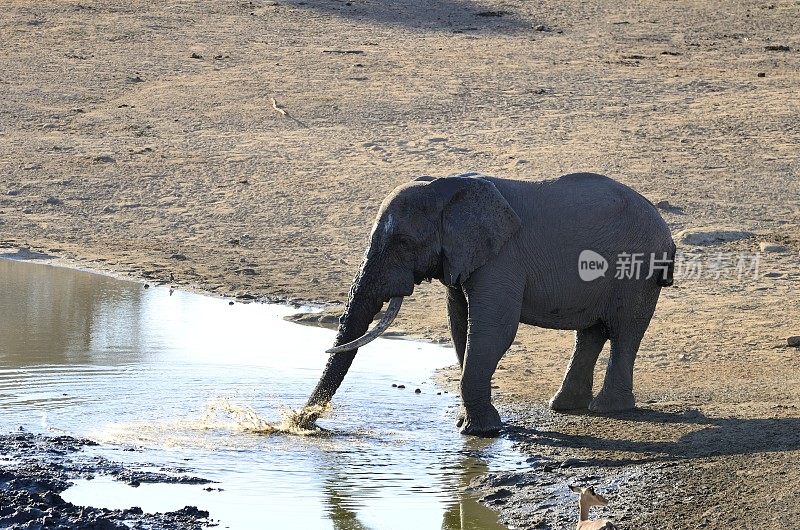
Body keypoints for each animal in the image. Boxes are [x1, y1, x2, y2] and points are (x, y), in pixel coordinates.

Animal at [304, 171, 676, 436]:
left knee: (624, 333)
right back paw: (565, 406)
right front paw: (466, 425)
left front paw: (481, 432)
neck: (446, 187)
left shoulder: (502, 259)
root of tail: (666, 231)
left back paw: (607, 410)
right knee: (591, 333)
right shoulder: (462, 257)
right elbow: (459, 324)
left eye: (404, 243)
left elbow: (492, 329)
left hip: (638, 272)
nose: (304, 422)